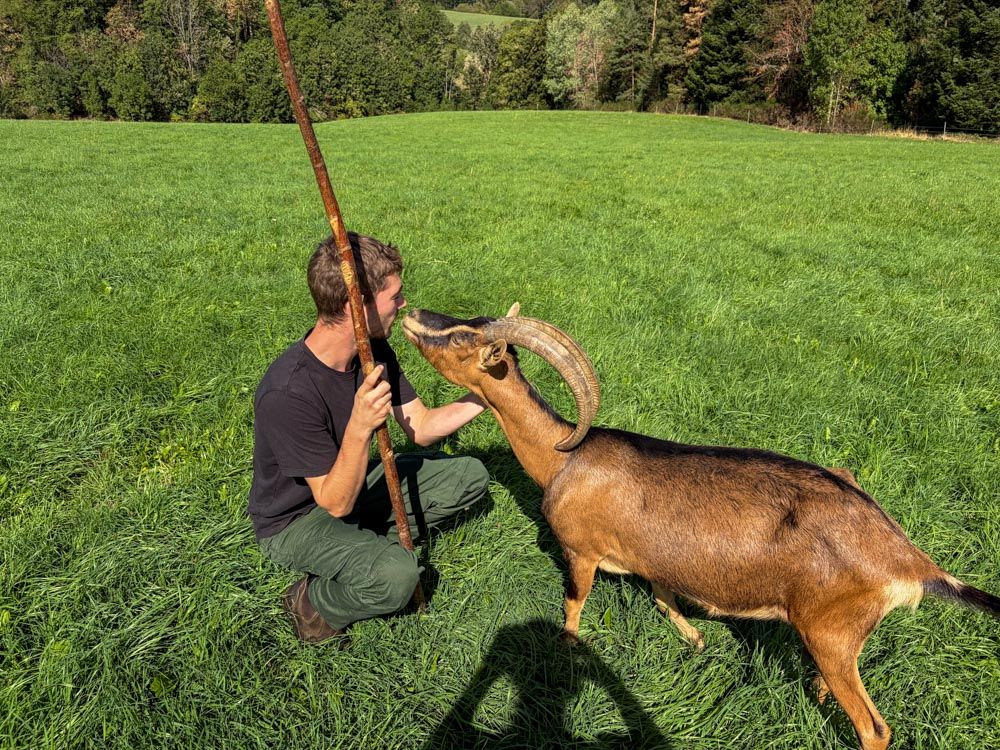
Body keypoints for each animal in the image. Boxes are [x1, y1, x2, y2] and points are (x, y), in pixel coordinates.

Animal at [402, 306, 1000, 750]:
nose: (412, 315)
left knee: (875, 729)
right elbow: (663, 594)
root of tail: (908, 561)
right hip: (835, 635)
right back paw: (815, 689)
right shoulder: (650, 556)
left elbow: (574, 604)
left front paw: (565, 652)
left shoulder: (580, 550)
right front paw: (695, 640)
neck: (562, 456)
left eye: (460, 337)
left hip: (830, 629)